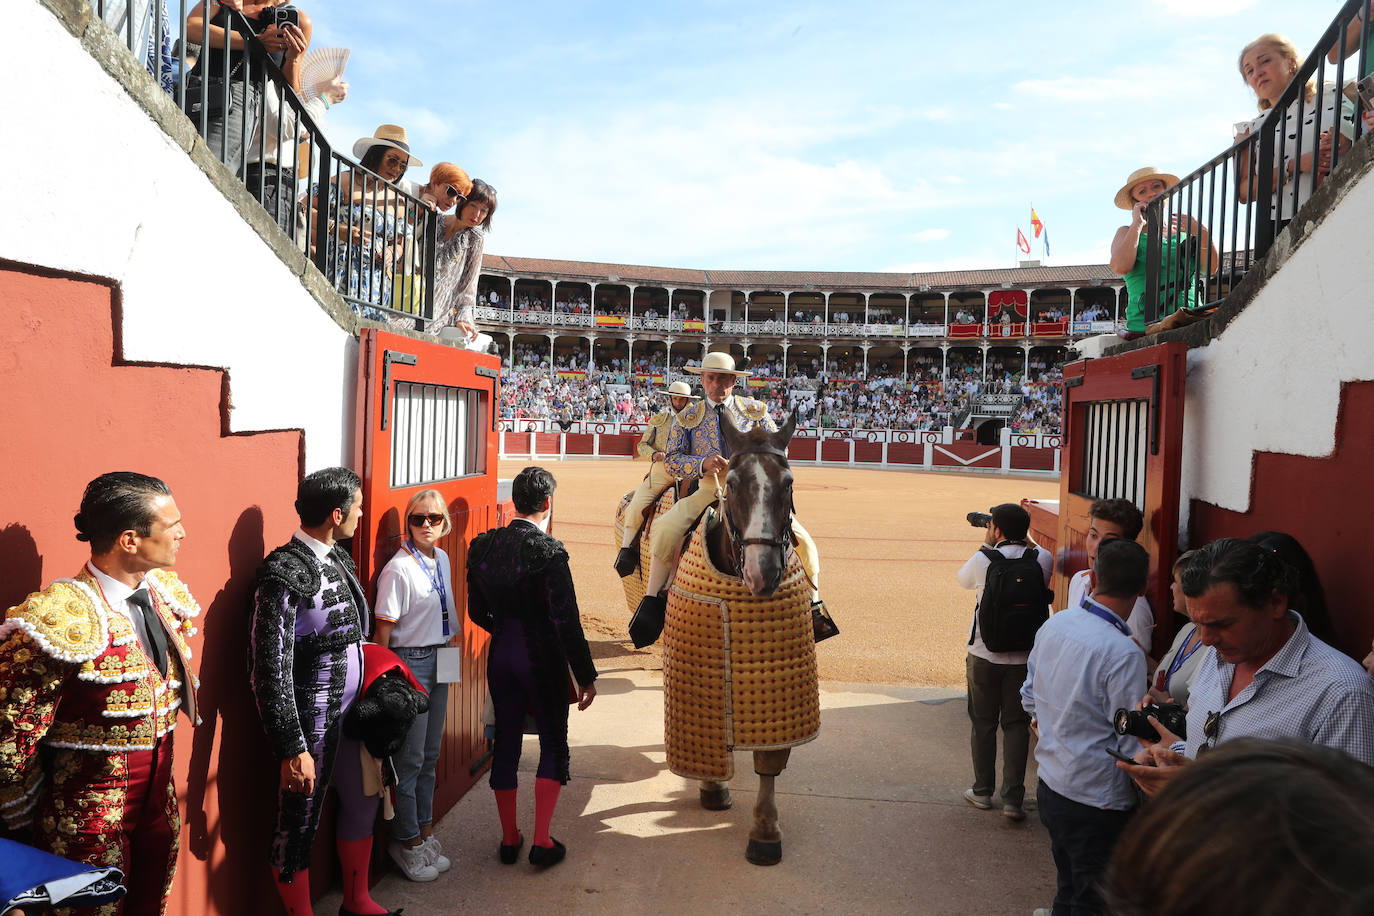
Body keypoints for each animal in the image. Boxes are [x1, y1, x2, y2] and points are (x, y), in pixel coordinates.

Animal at [654, 409, 813, 867]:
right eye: (735, 483)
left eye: (789, 482)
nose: (764, 574)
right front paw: (713, 788)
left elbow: (769, 760)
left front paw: (765, 832)